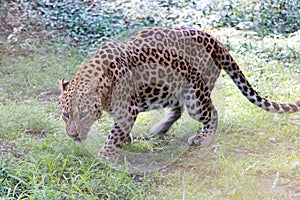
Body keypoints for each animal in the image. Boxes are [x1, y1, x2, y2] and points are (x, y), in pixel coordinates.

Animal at [59, 28, 300, 159]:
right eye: (65, 115)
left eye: (83, 114)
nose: (72, 135)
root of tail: (215, 40)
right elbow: (119, 129)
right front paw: (126, 140)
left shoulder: (128, 109)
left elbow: (113, 136)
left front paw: (102, 158)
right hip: (173, 88)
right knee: (177, 110)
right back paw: (159, 129)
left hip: (196, 96)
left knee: (212, 113)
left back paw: (203, 138)